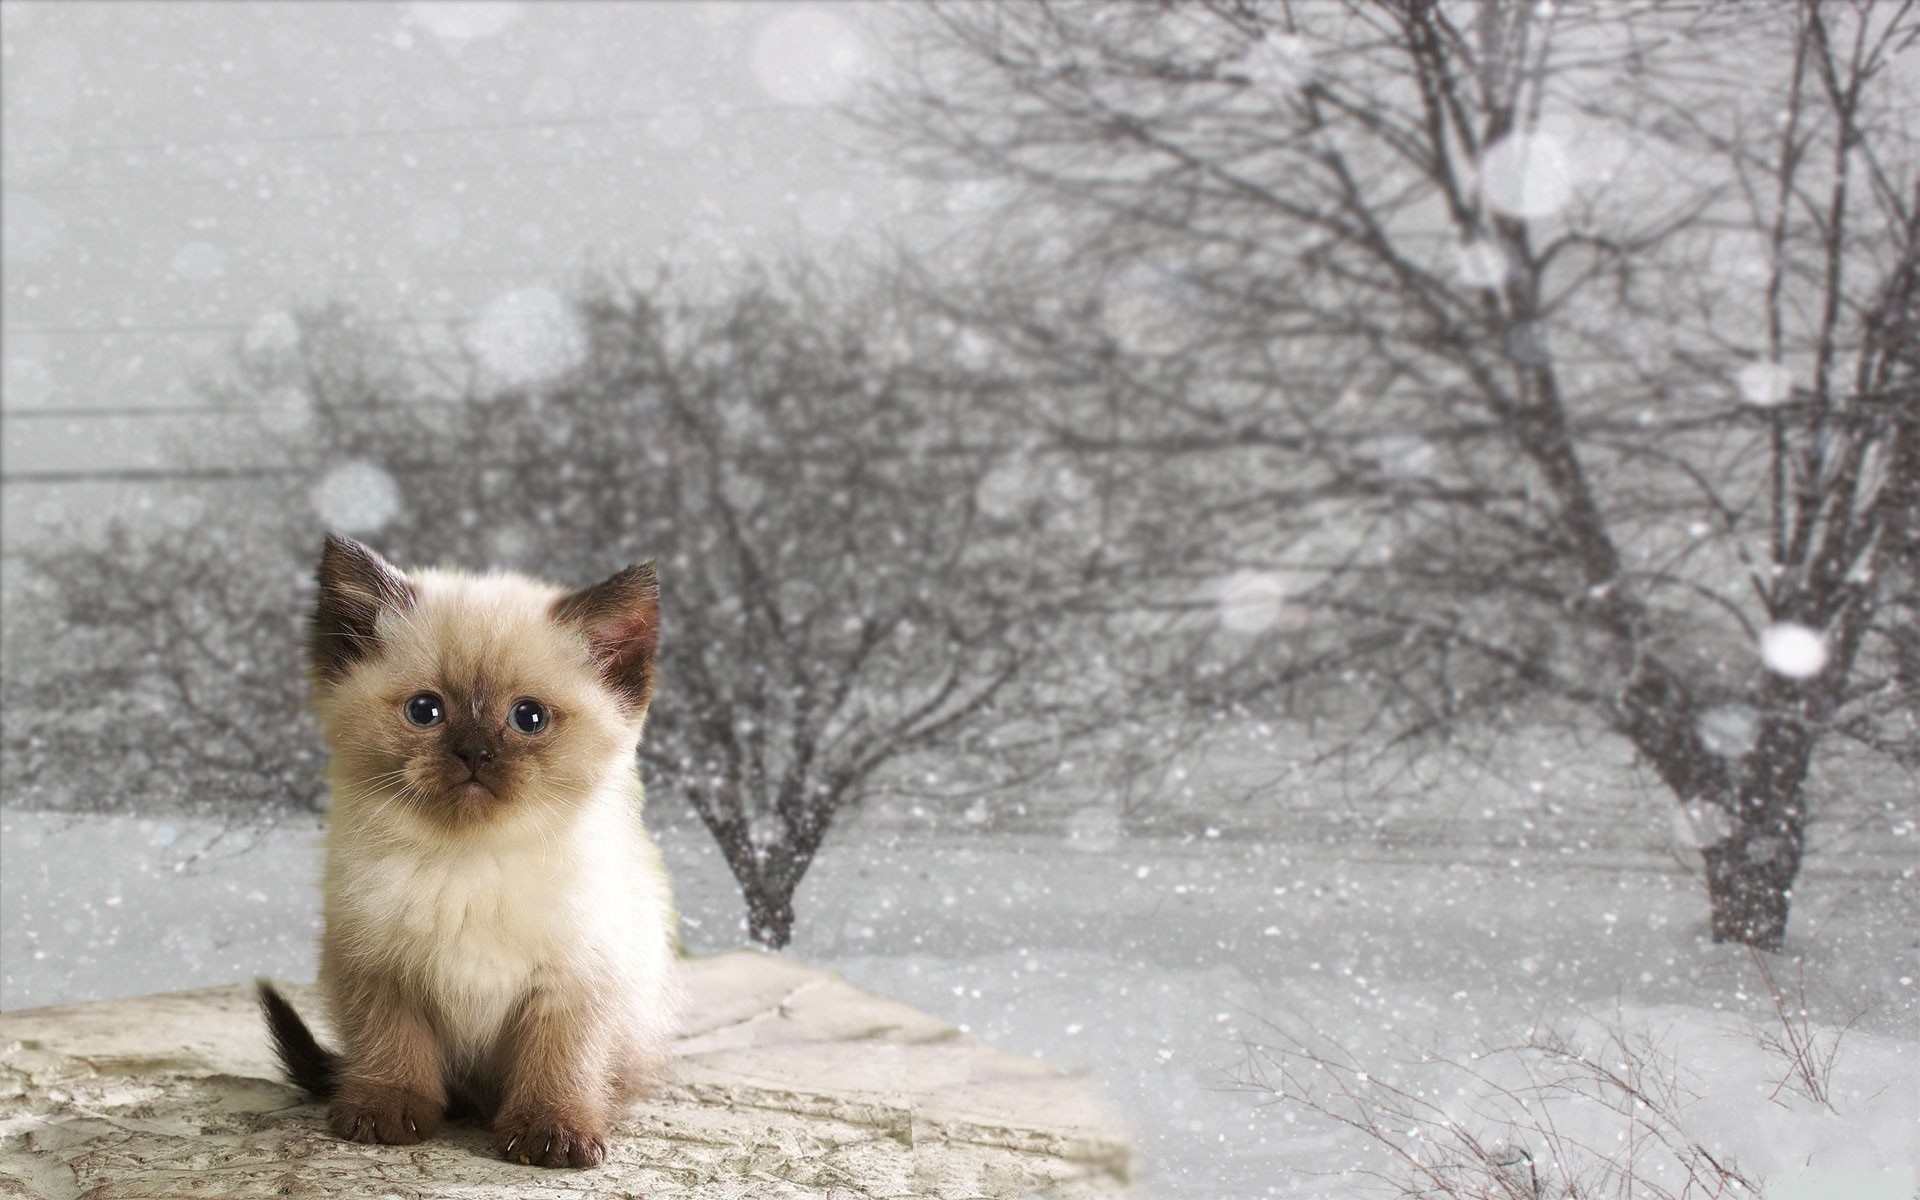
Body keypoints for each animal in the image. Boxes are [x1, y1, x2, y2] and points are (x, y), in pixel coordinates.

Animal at [259, 529, 683, 1167]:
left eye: (528, 718)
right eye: (425, 711)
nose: (474, 753)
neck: (472, 859)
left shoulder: (573, 982)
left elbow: (559, 1061)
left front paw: (553, 1132)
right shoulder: (379, 968)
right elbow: (392, 1045)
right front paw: (387, 1110)